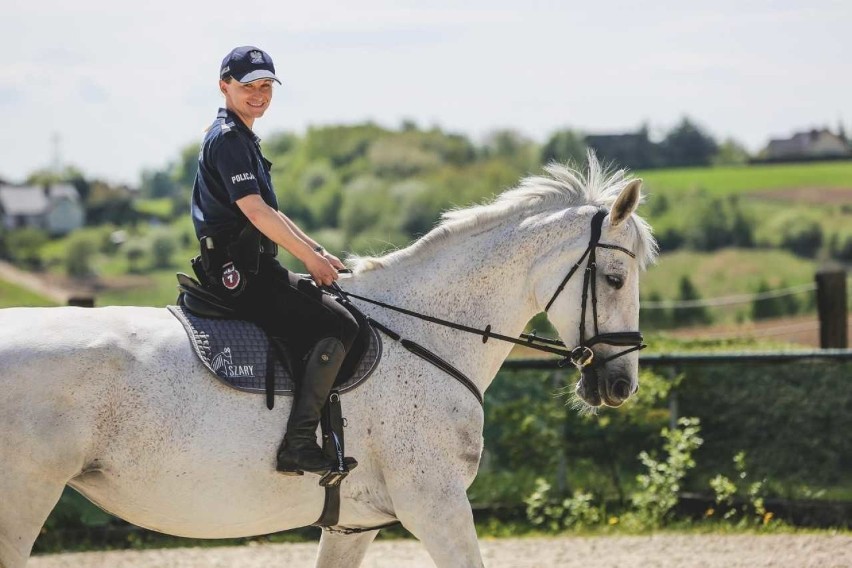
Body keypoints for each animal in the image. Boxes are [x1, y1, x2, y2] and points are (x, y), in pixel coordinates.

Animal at [0, 158, 660, 564]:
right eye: (614, 277)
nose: (620, 384)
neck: (423, 333)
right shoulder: (437, 503)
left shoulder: (354, 523)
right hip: (22, 497)